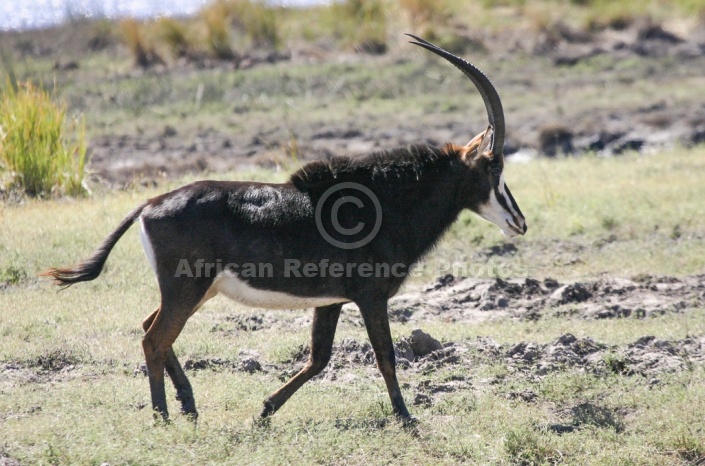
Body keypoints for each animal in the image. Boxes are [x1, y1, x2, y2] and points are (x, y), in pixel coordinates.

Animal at [42, 34, 524, 424]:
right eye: (494, 167)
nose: (518, 222)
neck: (388, 202)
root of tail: (149, 204)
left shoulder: (332, 301)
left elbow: (319, 359)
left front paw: (265, 410)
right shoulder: (370, 297)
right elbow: (385, 356)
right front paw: (406, 418)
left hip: (198, 290)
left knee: (150, 327)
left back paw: (188, 405)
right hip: (187, 287)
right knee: (154, 339)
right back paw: (163, 417)